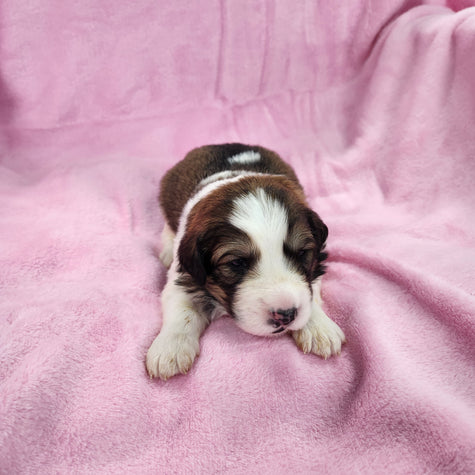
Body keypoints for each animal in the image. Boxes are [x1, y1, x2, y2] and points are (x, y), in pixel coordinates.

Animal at [146, 141, 346, 380]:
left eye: (301, 253)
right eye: (237, 263)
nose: (285, 315)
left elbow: (311, 293)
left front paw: (319, 328)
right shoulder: (183, 276)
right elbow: (181, 310)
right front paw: (170, 349)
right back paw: (167, 248)